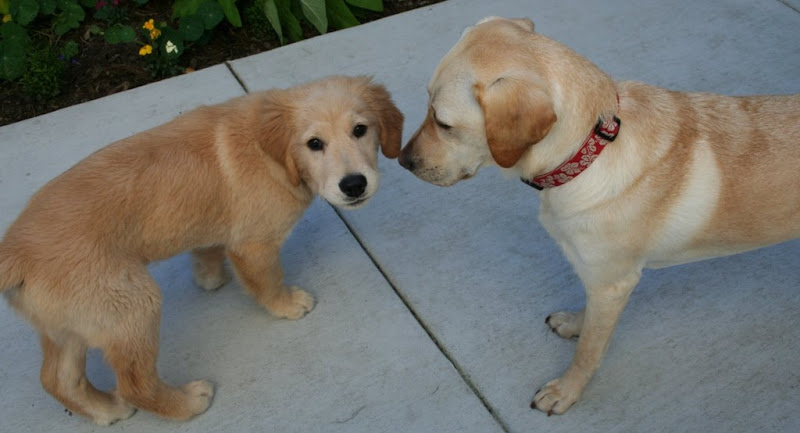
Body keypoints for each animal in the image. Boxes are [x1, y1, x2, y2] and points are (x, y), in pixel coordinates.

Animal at [0, 76, 404, 424]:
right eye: (314, 143)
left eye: (360, 130)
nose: (354, 185)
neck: (271, 152)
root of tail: (14, 251)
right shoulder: (255, 244)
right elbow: (267, 280)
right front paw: (286, 304)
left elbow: (208, 247)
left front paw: (210, 277)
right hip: (131, 305)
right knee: (134, 384)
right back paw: (186, 403)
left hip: (70, 324)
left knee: (58, 380)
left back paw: (105, 411)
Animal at [400, 16, 800, 416]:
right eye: (427, 103)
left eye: (443, 122)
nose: (402, 161)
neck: (589, 150)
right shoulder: (597, 279)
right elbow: (588, 319)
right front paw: (574, 323)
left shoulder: (613, 284)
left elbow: (588, 351)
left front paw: (566, 391)